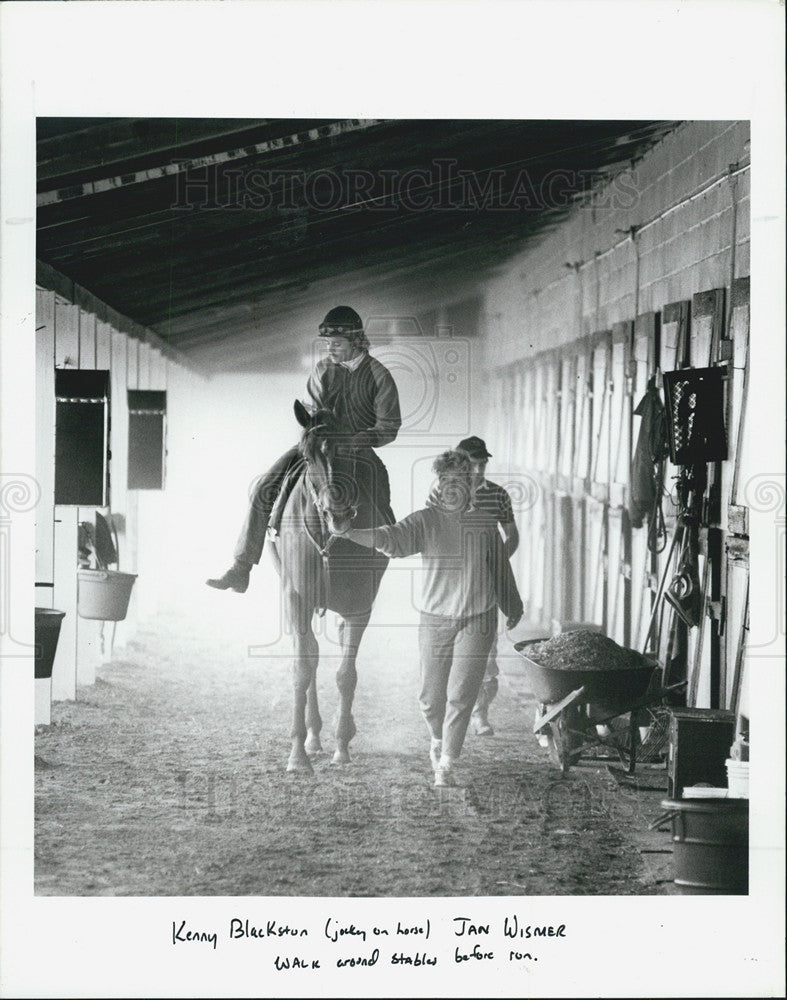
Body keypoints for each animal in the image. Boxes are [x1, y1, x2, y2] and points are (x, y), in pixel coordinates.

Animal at [270, 400, 394, 772]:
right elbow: (302, 668)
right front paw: (297, 755)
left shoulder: (359, 606)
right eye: (306, 455)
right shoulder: (297, 598)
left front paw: (341, 746)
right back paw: (312, 737)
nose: (337, 513)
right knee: (309, 656)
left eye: (350, 450)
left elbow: (345, 674)